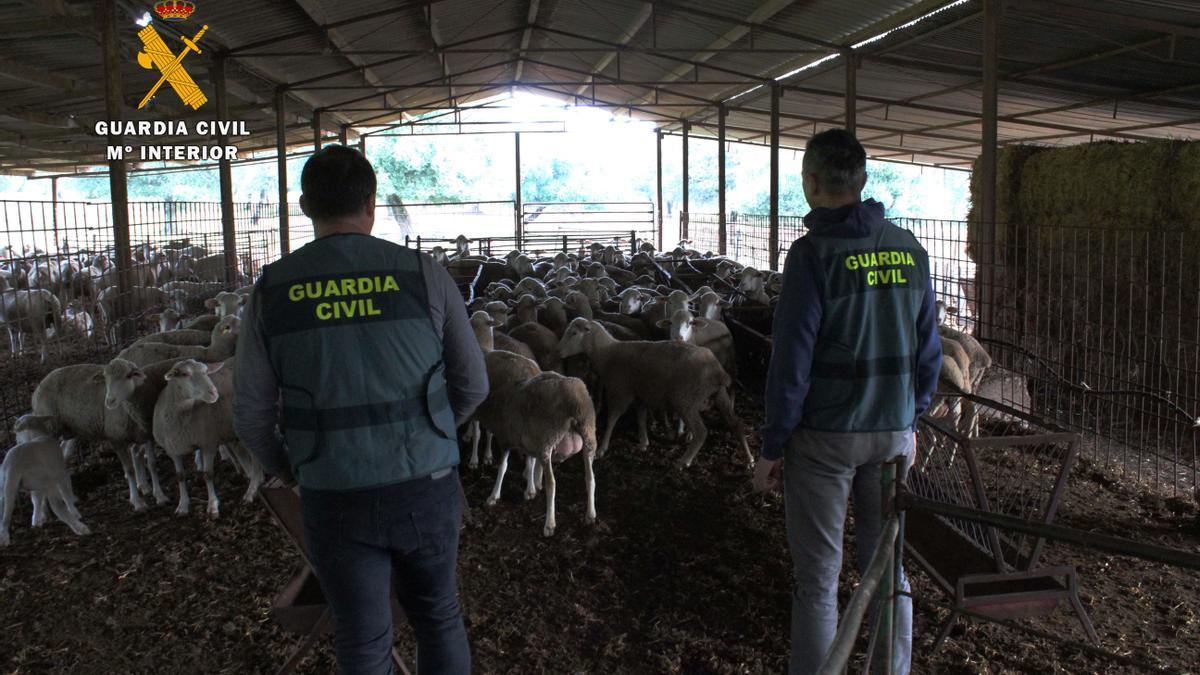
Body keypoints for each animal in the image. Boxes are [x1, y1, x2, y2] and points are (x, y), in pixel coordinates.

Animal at [0, 415, 88, 547]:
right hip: (46, 479)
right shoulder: (60, 473)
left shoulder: (36, 487)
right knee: (58, 506)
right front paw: (73, 508)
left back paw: (4, 537)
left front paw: (36, 521)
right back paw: (80, 526)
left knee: (5, 513)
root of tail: (13, 464)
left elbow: (36, 500)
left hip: (6, 488)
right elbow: (66, 492)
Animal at [554, 317, 748, 466]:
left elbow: (611, 420)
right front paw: (643, 443)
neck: (607, 353)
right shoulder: (641, 394)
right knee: (737, 424)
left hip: (685, 400)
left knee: (701, 432)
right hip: (718, 395)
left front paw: (602, 448)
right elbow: (641, 418)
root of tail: (717, 371)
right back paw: (749, 460)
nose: (558, 351)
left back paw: (683, 461)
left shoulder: (620, 391)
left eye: (574, 333)